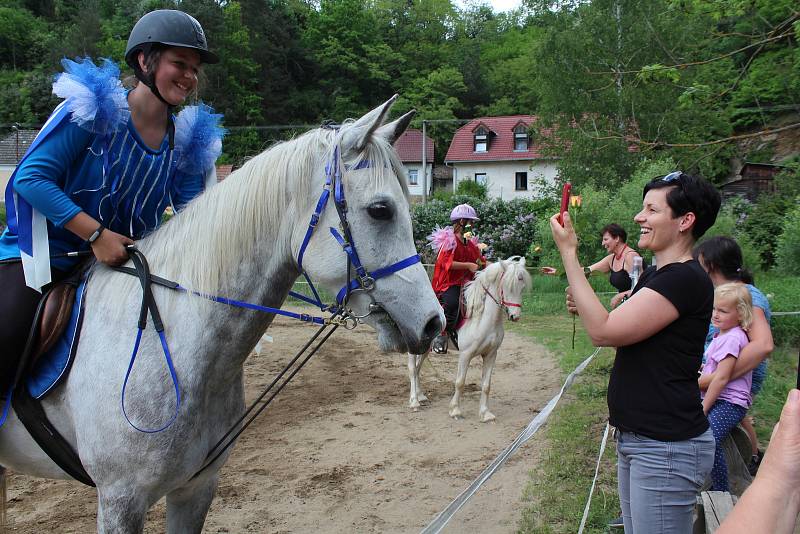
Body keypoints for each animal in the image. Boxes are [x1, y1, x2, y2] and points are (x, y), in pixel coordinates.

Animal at [406, 258, 532, 422]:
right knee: (412, 368)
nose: (514, 316)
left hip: (426, 346)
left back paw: (420, 396)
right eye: (507, 287)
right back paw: (414, 401)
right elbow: (460, 382)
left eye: (522, 288)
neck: (481, 317)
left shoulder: (491, 354)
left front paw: (485, 413)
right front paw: (455, 410)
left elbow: (486, 385)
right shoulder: (466, 354)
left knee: (418, 367)